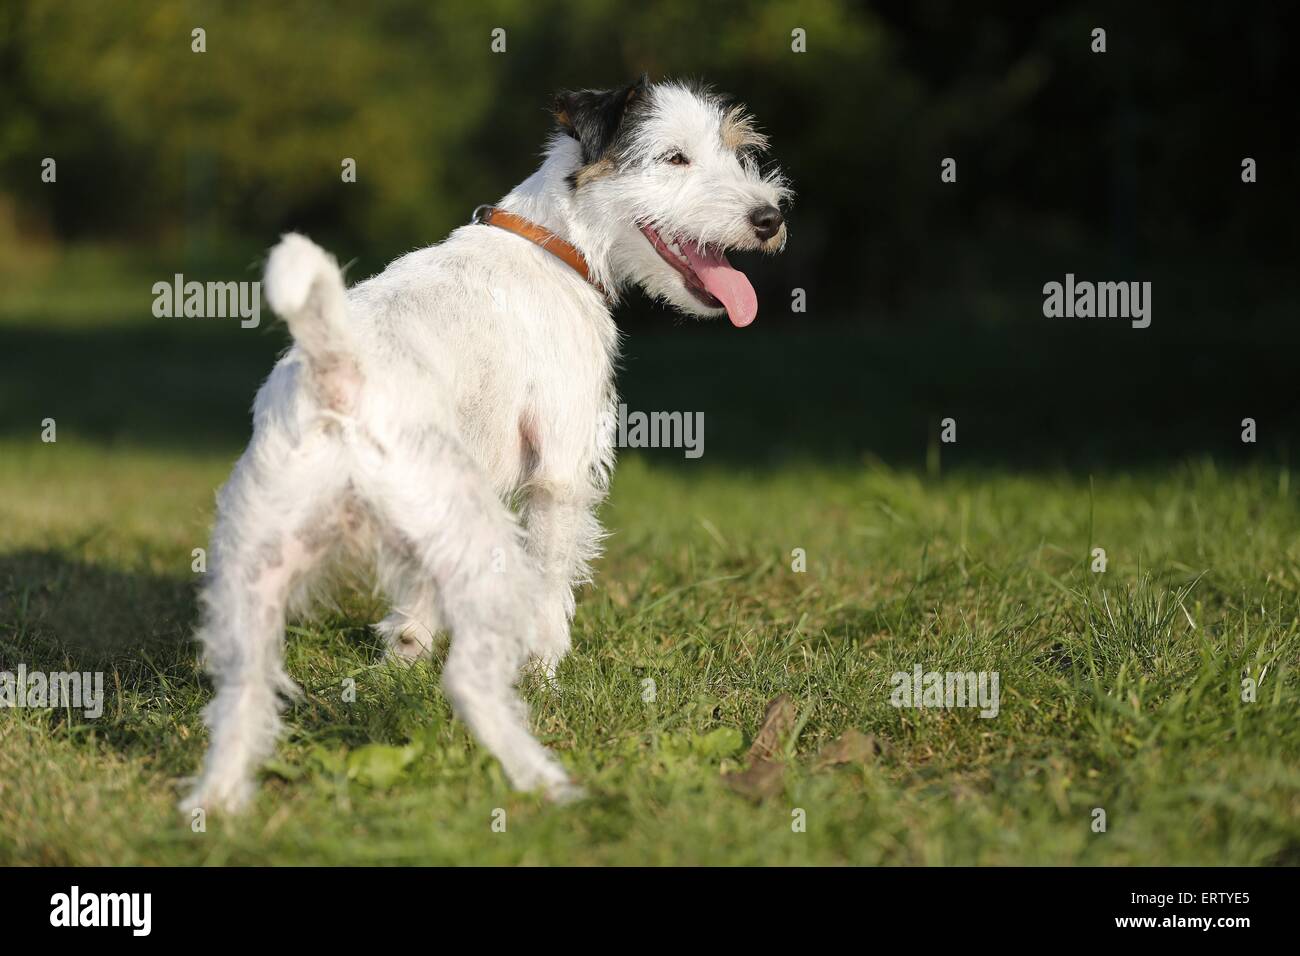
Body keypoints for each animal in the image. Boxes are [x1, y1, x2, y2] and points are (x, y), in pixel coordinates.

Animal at [184, 78, 790, 811]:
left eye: (737, 151)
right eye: (674, 158)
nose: (770, 217)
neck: (554, 242)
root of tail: (339, 373)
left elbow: (415, 604)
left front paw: (401, 660)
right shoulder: (559, 471)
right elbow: (553, 586)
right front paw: (546, 673)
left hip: (255, 572)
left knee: (241, 696)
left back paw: (213, 804)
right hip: (478, 542)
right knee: (469, 681)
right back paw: (546, 781)